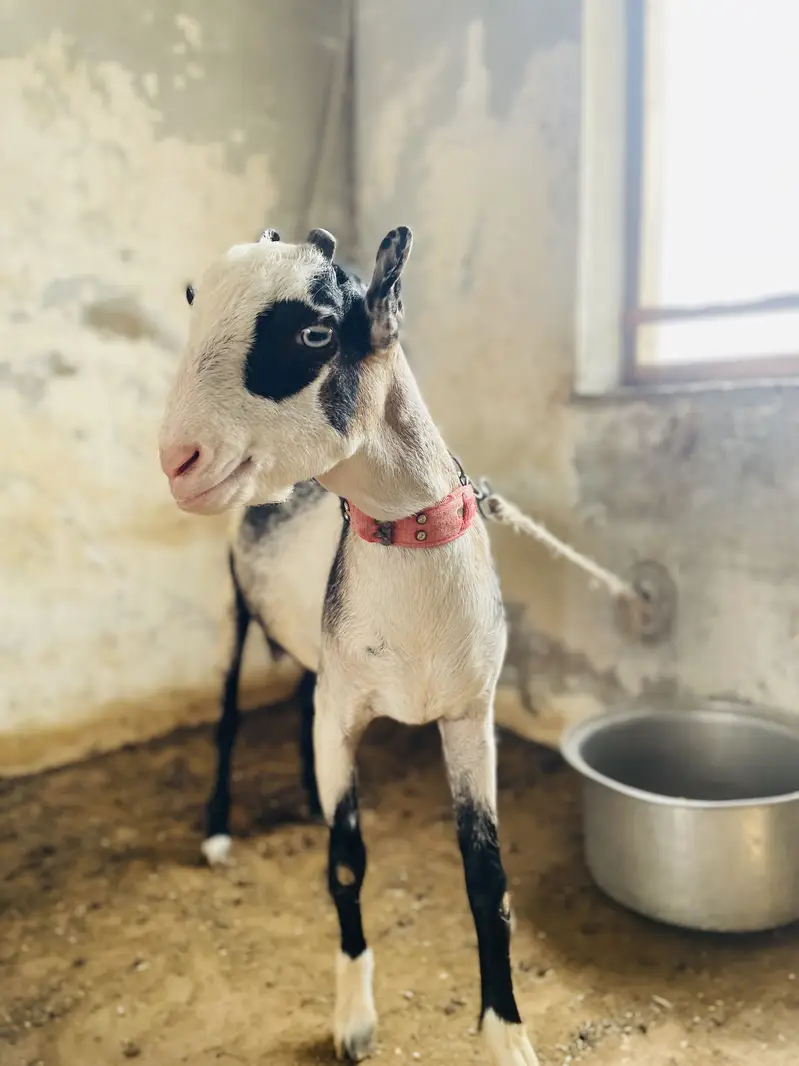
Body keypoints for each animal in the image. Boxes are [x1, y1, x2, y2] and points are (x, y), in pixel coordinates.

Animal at [159, 225, 540, 1065]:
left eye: (313, 333)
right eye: (192, 302)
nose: (177, 462)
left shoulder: (469, 716)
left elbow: (488, 879)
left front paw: (505, 1034)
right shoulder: (345, 714)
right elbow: (344, 862)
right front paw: (354, 1020)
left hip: (318, 656)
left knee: (299, 693)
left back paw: (305, 795)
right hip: (238, 614)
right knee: (229, 718)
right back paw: (216, 831)